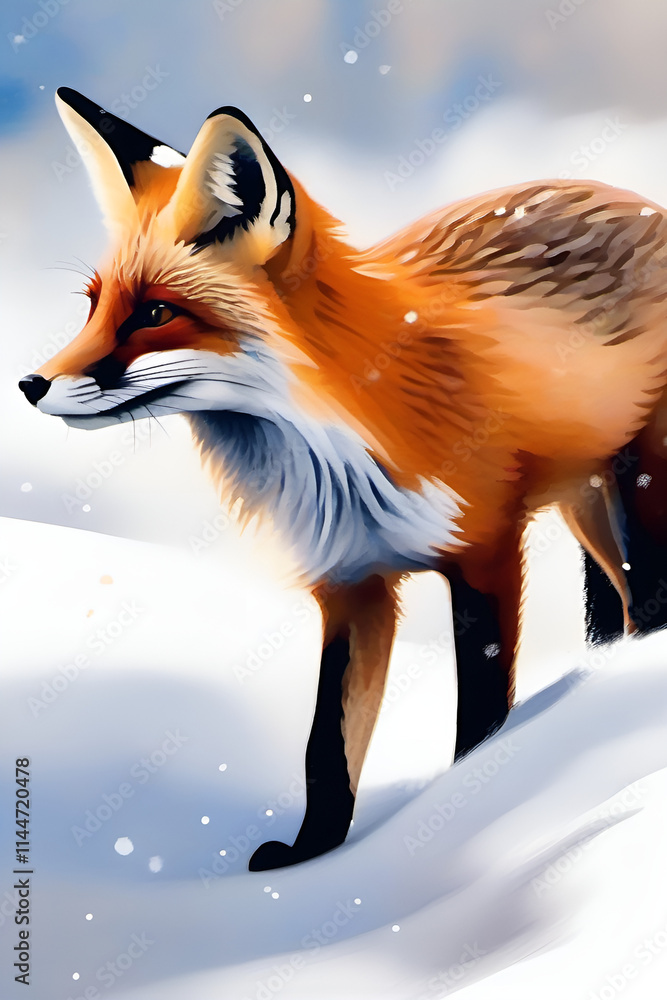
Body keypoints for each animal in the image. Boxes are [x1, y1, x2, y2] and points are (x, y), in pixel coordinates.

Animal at [19, 87, 667, 870]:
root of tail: (632, 197)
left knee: (647, 595)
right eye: (93, 306)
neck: (340, 458)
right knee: (619, 600)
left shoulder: (484, 553)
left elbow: (480, 716)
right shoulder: (350, 581)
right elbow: (325, 747)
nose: (29, 385)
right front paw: (312, 855)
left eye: (154, 313)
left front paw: (459, 807)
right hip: (584, 501)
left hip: (641, 487)